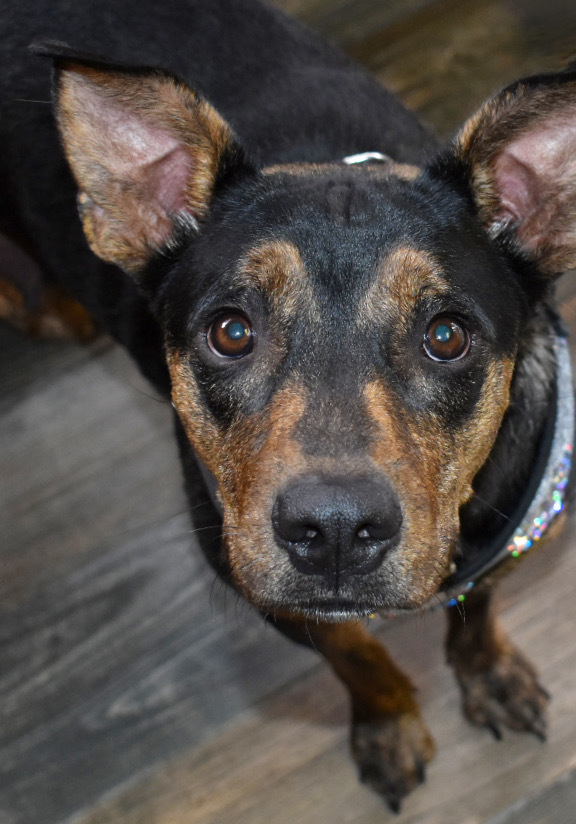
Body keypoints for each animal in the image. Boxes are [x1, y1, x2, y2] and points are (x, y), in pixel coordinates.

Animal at [1, 0, 576, 812]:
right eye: (231, 331)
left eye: (447, 335)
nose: (333, 531)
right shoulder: (264, 587)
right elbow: (357, 657)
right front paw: (389, 726)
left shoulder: (514, 530)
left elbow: (479, 608)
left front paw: (487, 673)